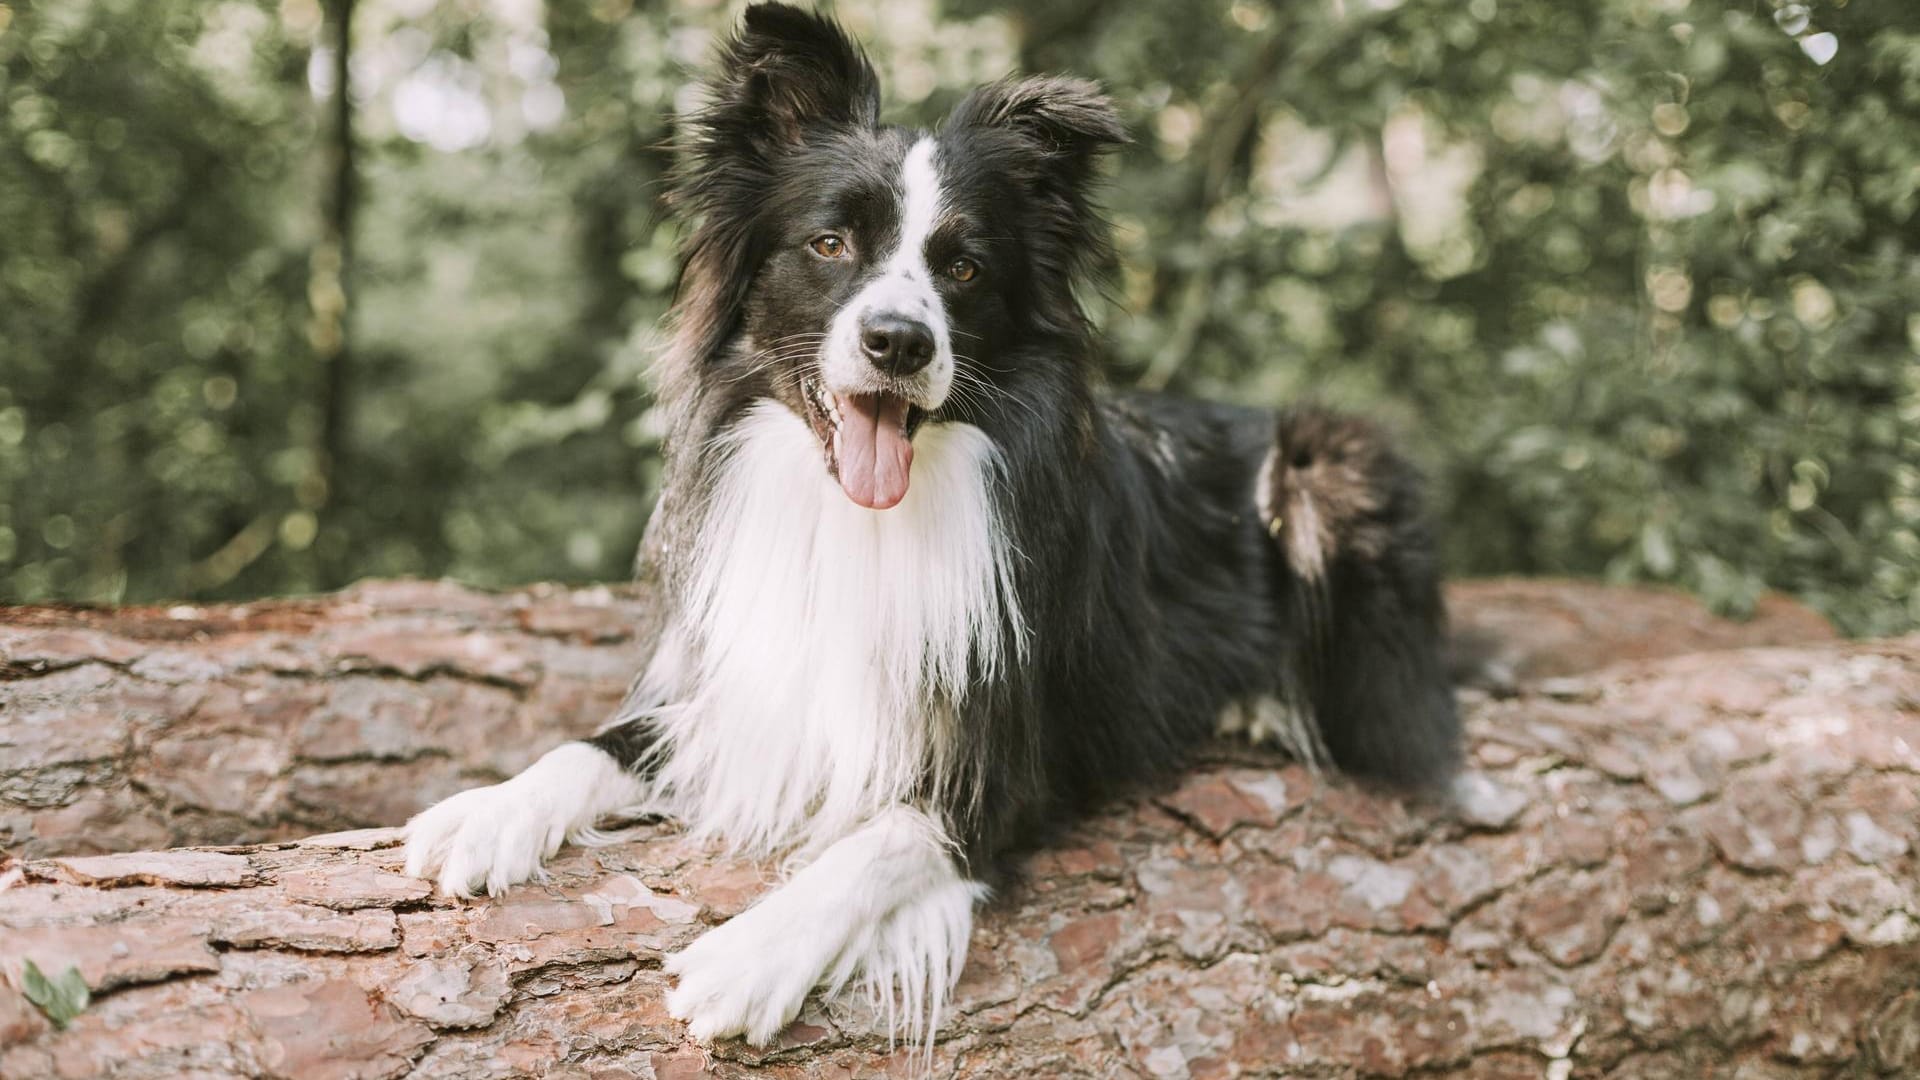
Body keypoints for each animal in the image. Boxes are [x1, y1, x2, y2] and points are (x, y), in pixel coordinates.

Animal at [405, 6, 1451, 1053]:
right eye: (830, 244)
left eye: (964, 268)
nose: (899, 342)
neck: (857, 516)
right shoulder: (746, 689)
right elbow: (598, 744)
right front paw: (486, 813)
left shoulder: (1006, 769)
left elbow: (875, 842)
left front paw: (753, 954)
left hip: (1322, 468)